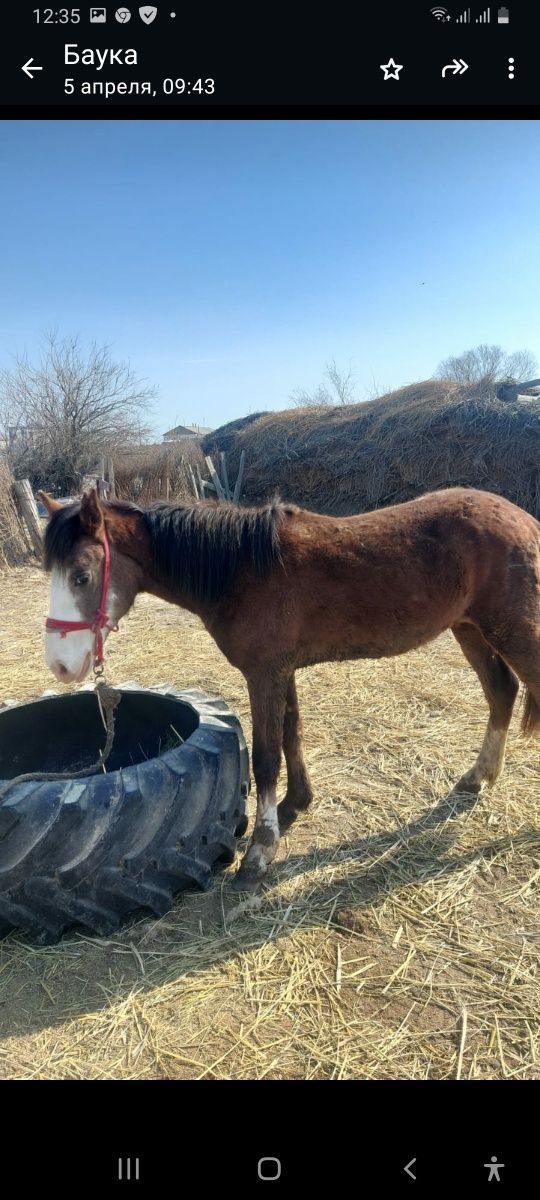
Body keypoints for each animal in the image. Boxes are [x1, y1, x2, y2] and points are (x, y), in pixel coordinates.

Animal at [40, 487, 537, 892]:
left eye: (81, 576)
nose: (60, 665)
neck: (239, 569)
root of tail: (523, 518)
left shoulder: (264, 675)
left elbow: (266, 755)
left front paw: (259, 853)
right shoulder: (283, 671)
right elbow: (291, 734)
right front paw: (294, 806)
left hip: (510, 632)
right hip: (469, 628)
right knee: (501, 692)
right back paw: (477, 777)